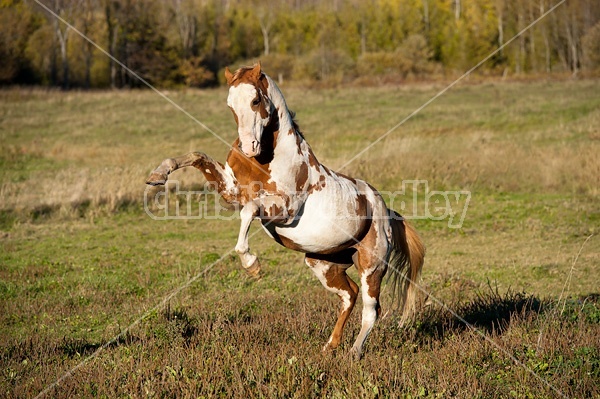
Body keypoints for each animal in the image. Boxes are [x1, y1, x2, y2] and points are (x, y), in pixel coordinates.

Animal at [147, 63, 424, 360]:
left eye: (256, 100)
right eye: (230, 105)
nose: (248, 147)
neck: (266, 161)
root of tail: (385, 211)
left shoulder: (284, 209)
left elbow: (249, 211)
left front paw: (251, 265)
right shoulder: (231, 192)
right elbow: (196, 156)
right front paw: (157, 176)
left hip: (372, 266)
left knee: (371, 311)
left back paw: (353, 353)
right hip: (323, 264)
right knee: (348, 296)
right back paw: (329, 346)